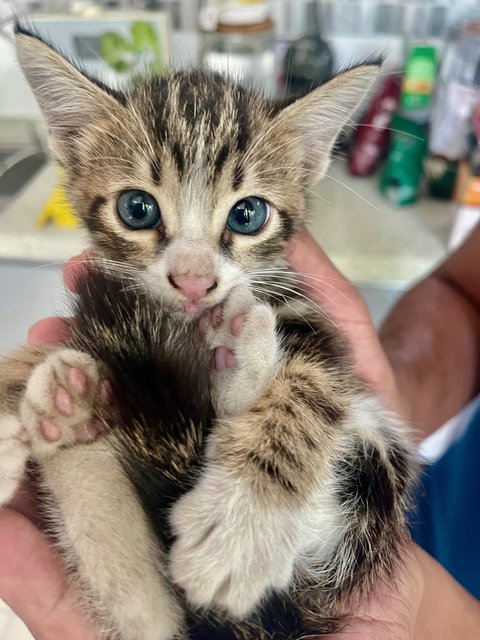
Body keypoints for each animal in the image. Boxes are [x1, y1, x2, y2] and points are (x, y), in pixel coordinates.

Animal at [0, 28, 416, 640]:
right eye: (137, 208)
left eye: (247, 215)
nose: (196, 281)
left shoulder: (312, 319)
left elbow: (310, 387)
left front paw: (239, 529)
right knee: (146, 614)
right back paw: (69, 413)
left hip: (374, 471)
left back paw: (237, 361)